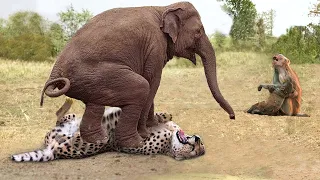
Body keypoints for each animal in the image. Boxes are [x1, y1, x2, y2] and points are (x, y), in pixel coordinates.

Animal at [11, 98, 205, 162]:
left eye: (195, 150)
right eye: (199, 146)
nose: (197, 138)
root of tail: (53, 151)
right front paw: (165, 114)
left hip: (87, 140)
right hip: (66, 122)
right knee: (60, 116)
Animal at [40, 1, 235, 148]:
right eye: (198, 32)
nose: (232, 117)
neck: (164, 8)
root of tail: (55, 71)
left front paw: (154, 123)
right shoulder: (155, 46)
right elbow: (152, 81)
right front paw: (147, 132)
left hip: (89, 80)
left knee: (95, 104)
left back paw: (99, 140)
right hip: (96, 74)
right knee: (140, 87)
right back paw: (135, 143)